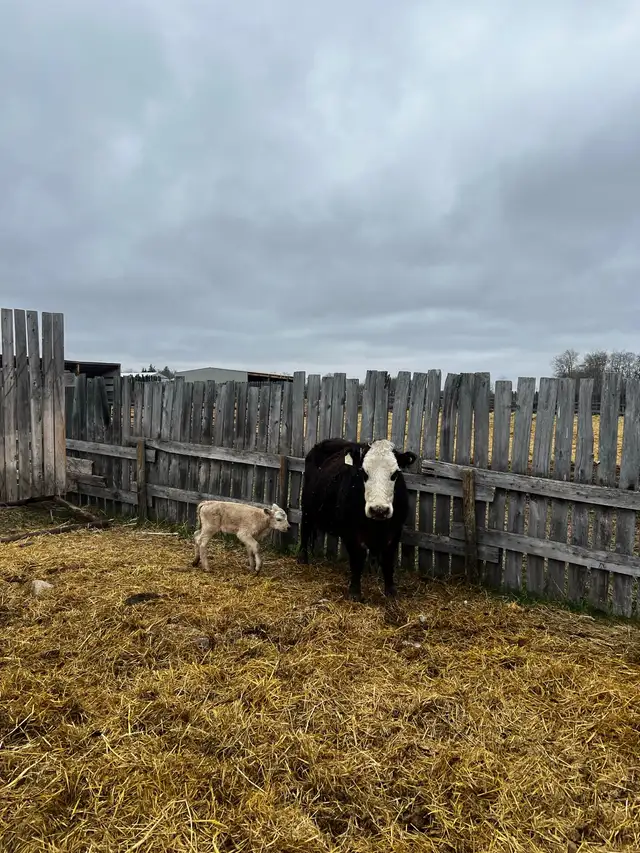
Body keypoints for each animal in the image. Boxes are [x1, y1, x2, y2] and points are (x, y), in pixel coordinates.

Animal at [297, 437, 417, 602]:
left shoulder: (395, 532)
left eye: (395, 474)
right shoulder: (351, 533)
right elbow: (357, 559)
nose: (379, 510)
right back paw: (302, 558)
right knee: (305, 529)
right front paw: (355, 591)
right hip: (307, 508)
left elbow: (387, 560)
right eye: (364, 473)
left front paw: (391, 591)